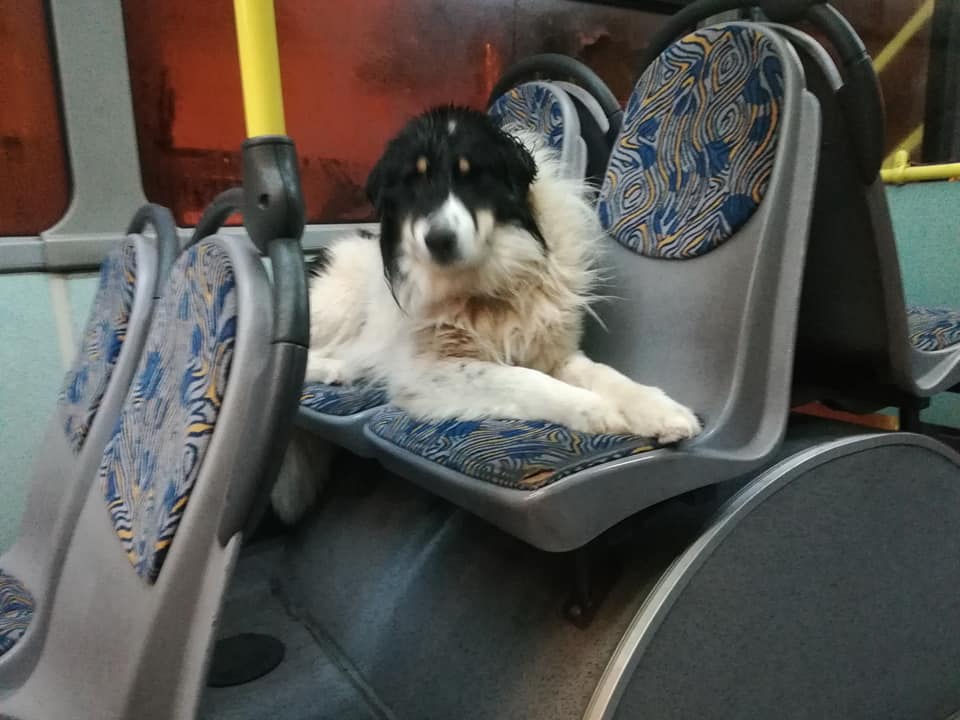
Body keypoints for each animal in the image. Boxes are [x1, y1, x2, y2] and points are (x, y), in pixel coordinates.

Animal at [270, 105, 701, 524]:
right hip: (336, 302)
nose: (439, 240)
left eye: (472, 176)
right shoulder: (427, 373)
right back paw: (333, 369)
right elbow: (522, 379)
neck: (485, 286)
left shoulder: (554, 352)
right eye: (413, 181)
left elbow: (606, 375)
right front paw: (595, 409)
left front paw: (659, 410)